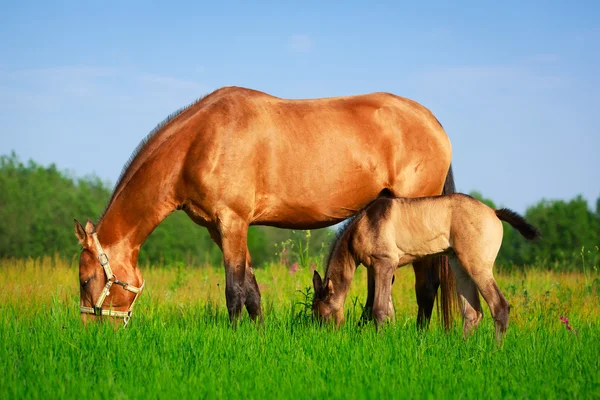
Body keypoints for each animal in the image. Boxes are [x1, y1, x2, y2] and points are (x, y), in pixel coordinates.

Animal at [72, 86, 454, 326]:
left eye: (86, 279)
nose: (92, 332)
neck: (200, 141)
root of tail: (433, 122)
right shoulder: (223, 229)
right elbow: (252, 290)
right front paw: (257, 335)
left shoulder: (232, 222)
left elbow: (234, 290)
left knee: (427, 283)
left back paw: (420, 335)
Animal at [312, 193, 540, 340]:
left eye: (322, 315)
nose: (324, 338)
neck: (364, 224)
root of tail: (494, 212)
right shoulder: (378, 269)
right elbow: (389, 310)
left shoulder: (384, 263)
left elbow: (379, 309)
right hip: (459, 267)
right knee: (473, 312)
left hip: (477, 267)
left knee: (499, 306)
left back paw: (494, 350)